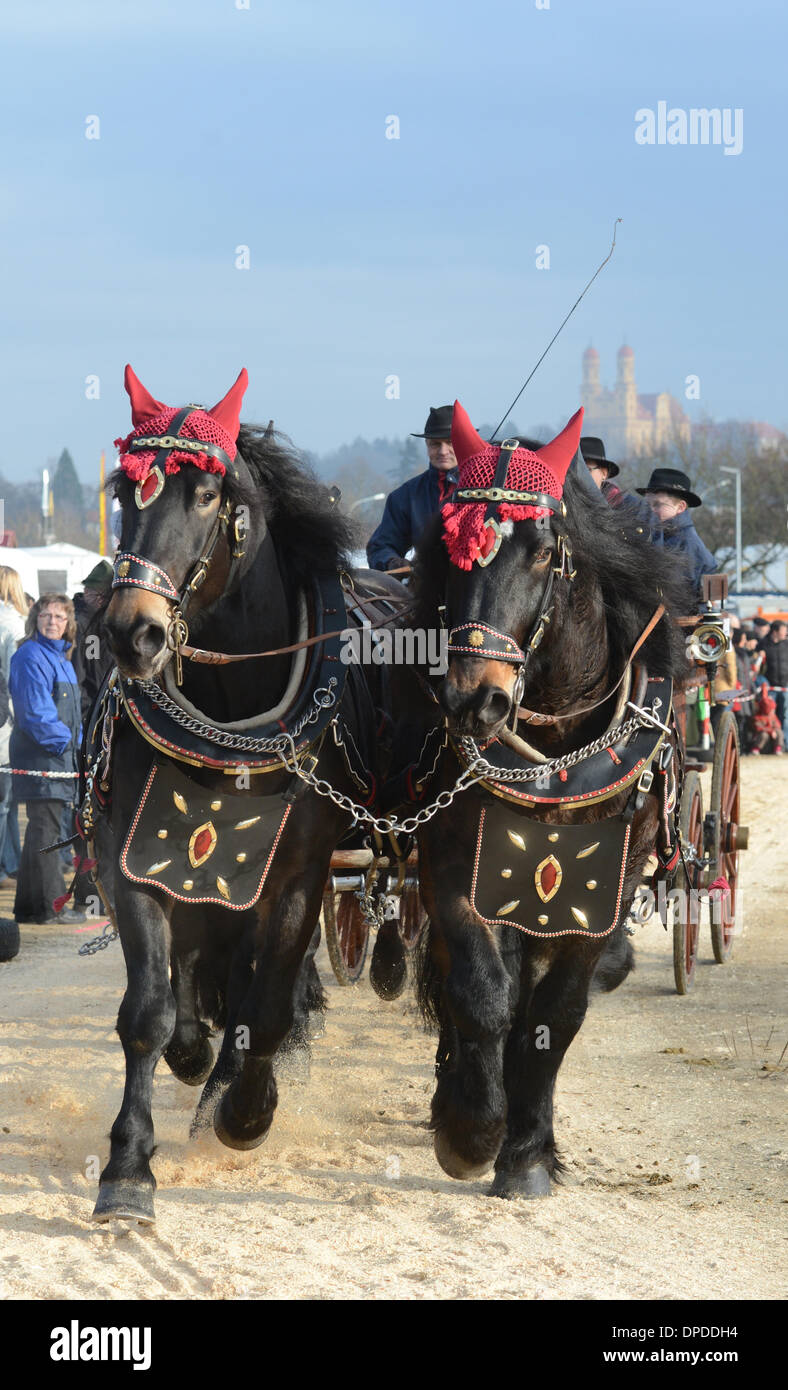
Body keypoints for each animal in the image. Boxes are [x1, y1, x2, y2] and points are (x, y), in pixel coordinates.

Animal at [91, 364, 383, 1223]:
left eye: (207, 496)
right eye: (126, 491)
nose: (131, 632)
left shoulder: (298, 877)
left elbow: (271, 1002)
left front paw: (245, 1113)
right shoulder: (135, 860)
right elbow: (149, 1009)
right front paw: (129, 1166)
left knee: (253, 988)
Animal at [414, 403, 689, 1195]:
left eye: (543, 551)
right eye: (452, 550)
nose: (473, 698)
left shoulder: (604, 886)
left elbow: (556, 1012)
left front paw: (529, 1151)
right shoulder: (455, 869)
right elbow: (482, 991)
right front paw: (473, 1131)